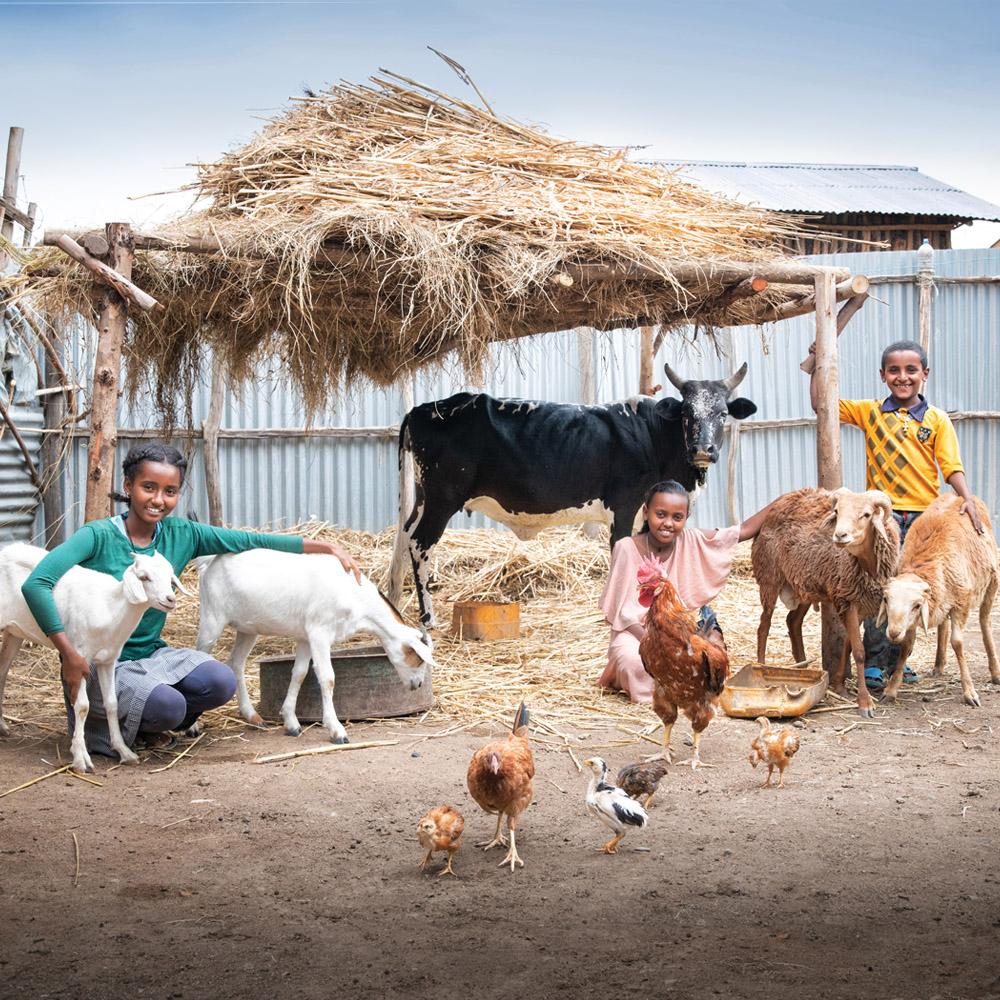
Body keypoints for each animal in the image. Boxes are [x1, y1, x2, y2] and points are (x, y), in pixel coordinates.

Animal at [0, 548, 189, 772]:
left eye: (170, 577)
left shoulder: (107, 660)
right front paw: (81, 759)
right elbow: (83, 706)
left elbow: (112, 704)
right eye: (144, 577)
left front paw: (124, 751)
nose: (170, 599)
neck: (110, 607)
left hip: (13, 632)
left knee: (2, 672)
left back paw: (2, 726)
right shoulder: (79, 658)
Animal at [195, 548, 434, 744]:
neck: (353, 595)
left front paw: (291, 722)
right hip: (212, 618)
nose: (418, 684)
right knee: (200, 653)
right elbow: (327, 678)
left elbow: (300, 673)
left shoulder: (305, 636)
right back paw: (194, 726)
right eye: (418, 658)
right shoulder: (320, 632)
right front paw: (337, 730)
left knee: (236, 663)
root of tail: (209, 562)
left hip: (248, 628)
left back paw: (253, 716)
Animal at [386, 360, 752, 624]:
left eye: (722, 413)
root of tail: (422, 409)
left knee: (404, 536)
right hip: (442, 498)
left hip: (423, 497)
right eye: (687, 413)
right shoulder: (624, 506)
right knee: (419, 544)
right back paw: (428, 618)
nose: (703, 449)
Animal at [752, 486, 904, 716]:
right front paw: (864, 702)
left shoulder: (856, 602)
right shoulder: (847, 600)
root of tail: (778, 504)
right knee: (764, 625)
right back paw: (761, 666)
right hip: (770, 577)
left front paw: (839, 686)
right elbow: (859, 652)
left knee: (793, 621)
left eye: (867, 514)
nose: (840, 535)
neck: (865, 565)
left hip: (804, 583)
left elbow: (848, 645)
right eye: (837, 512)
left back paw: (803, 667)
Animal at [880, 496, 996, 708]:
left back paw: (995, 672)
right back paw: (939, 665)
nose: (893, 633)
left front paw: (970, 692)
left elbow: (957, 643)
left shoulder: (962, 602)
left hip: (991, 582)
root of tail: (962, 497)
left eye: (916, 605)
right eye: (886, 599)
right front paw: (891, 690)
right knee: (944, 625)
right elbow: (906, 646)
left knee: (985, 623)